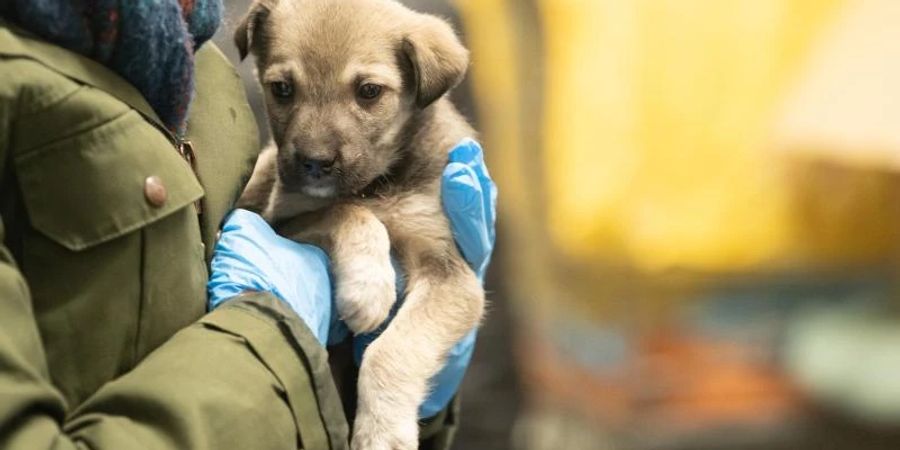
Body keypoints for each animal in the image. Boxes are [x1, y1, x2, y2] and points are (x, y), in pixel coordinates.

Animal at [232, 1, 486, 448]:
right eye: (282, 88)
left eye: (369, 91)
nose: (314, 164)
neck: (375, 187)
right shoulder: (283, 217)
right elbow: (346, 212)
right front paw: (368, 288)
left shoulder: (450, 272)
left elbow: (391, 350)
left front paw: (382, 431)